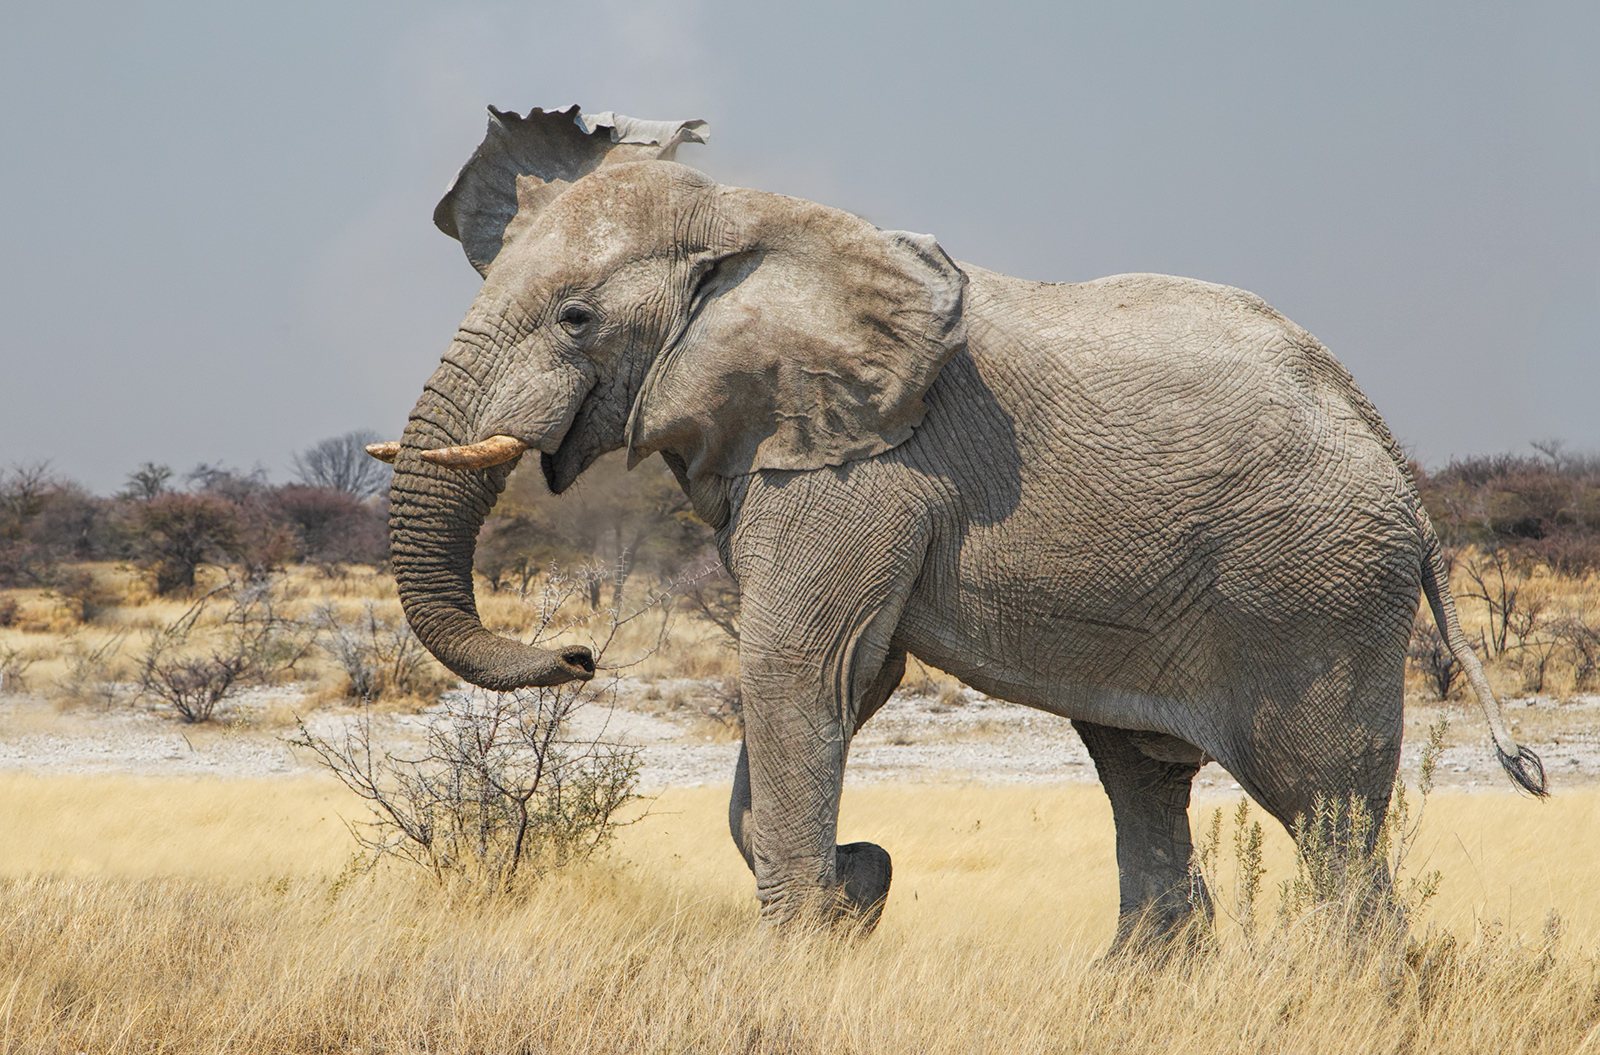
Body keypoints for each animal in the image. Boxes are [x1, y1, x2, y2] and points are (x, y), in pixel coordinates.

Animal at [370, 105, 1545, 949]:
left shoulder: (868, 469)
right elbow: (847, 675)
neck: (754, 223)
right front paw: (859, 887)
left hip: (1317, 595)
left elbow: (804, 664)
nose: (579, 654)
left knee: (1326, 811)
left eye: (576, 318)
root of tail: (1400, 471)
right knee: (1143, 775)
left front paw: (813, 938)